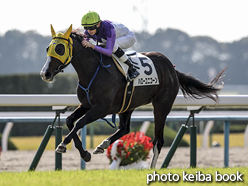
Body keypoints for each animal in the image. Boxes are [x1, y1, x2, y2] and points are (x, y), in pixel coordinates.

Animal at [40, 24, 225, 167]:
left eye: (60, 49)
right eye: (48, 48)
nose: (45, 74)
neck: (93, 71)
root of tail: (172, 68)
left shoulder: (102, 108)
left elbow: (80, 122)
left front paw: (62, 144)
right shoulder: (86, 105)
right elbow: (70, 121)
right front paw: (85, 153)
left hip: (161, 106)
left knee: (158, 141)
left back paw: (152, 168)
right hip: (127, 104)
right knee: (125, 128)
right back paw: (103, 144)